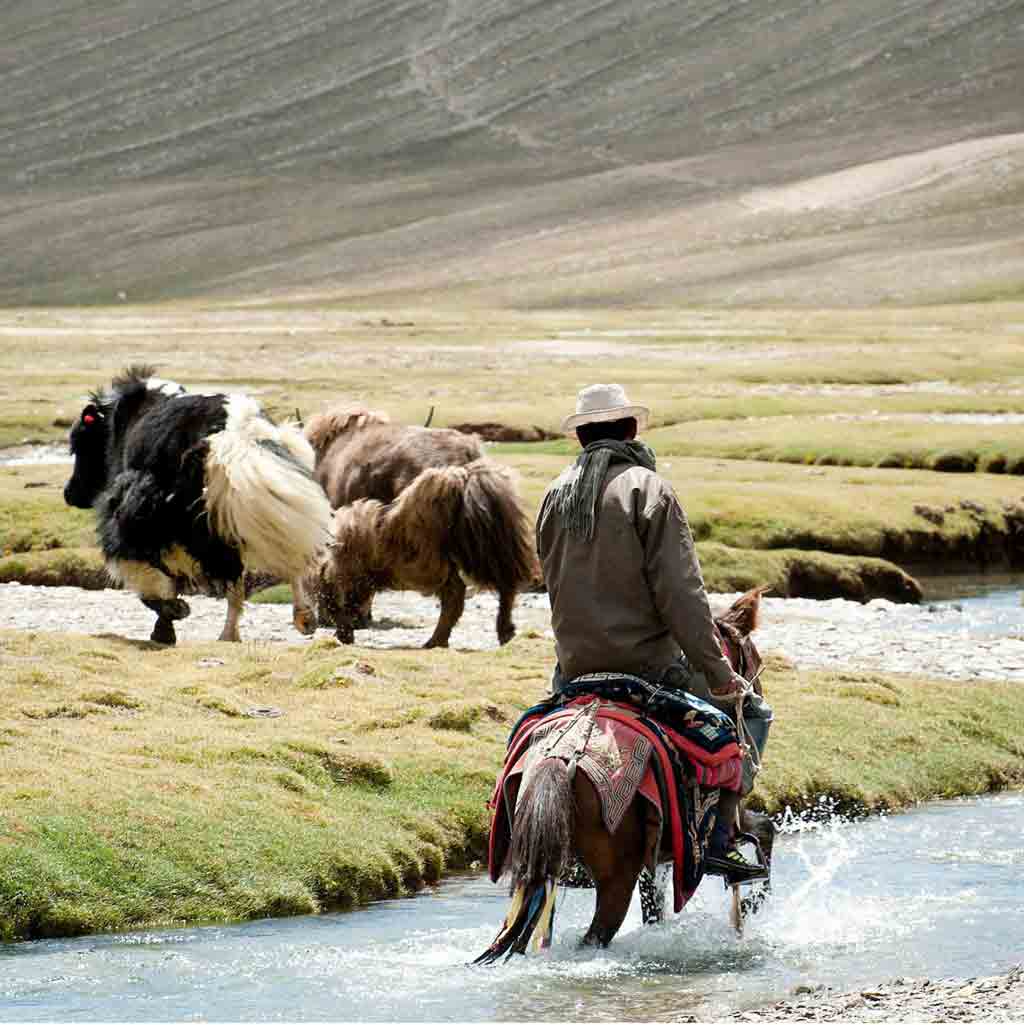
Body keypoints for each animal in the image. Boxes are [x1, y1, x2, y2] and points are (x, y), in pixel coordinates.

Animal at [475, 590, 770, 955]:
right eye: (752, 659)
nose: (756, 698)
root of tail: (562, 755)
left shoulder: (655, 859)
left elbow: (654, 907)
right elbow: (766, 830)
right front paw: (750, 900)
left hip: (539, 871)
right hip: (615, 877)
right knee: (594, 937)